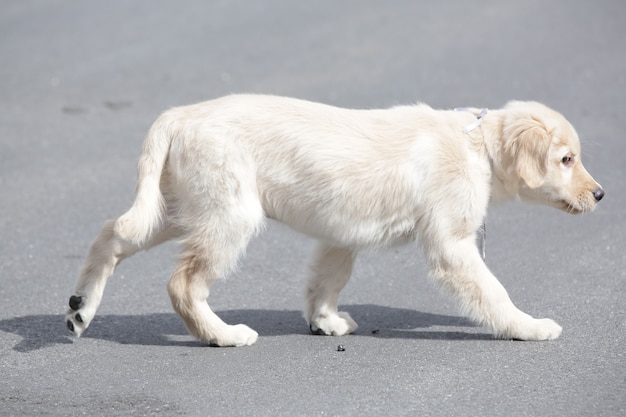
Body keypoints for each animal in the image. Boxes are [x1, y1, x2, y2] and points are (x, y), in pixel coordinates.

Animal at [66, 94, 604, 344]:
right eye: (566, 159)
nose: (600, 194)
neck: (478, 145)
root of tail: (179, 114)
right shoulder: (452, 245)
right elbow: (494, 293)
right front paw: (528, 327)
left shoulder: (340, 233)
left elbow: (327, 278)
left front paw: (324, 321)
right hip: (228, 215)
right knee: (183, 282)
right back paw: (222, 335)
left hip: (181, 208)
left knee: (111, 233)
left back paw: (81, 308)